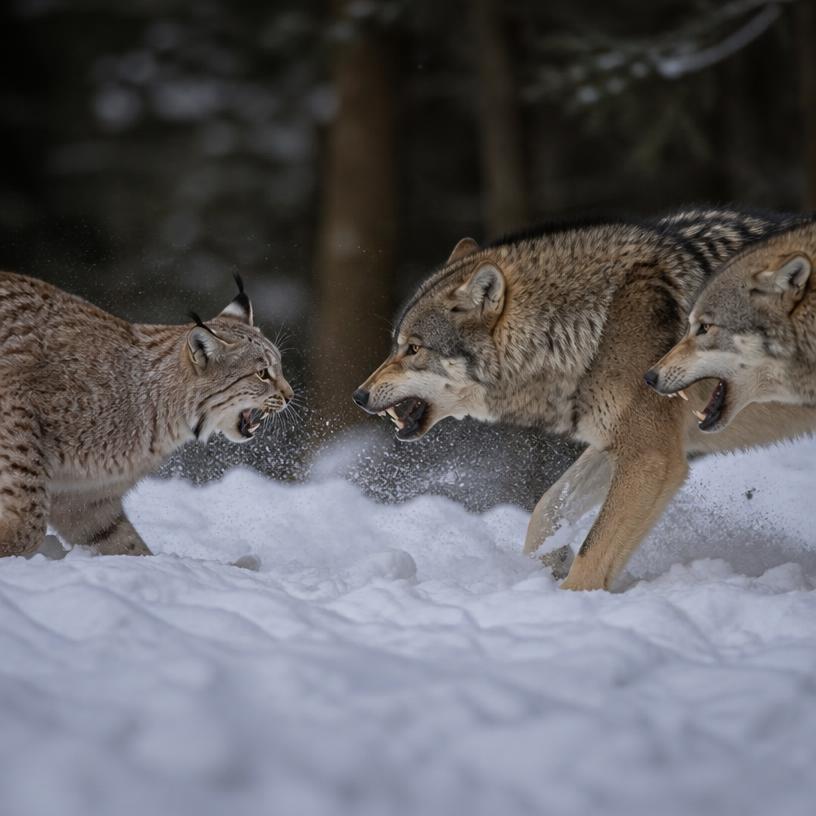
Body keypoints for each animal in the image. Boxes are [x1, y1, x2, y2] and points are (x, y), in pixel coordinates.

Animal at [0, 272, 293, 558]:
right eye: (262, 373)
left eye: (278, 365)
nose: (290, 396)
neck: (169, 416)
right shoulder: (16, 400)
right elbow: (29, 524)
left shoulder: (85, 496)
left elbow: (126, 544)